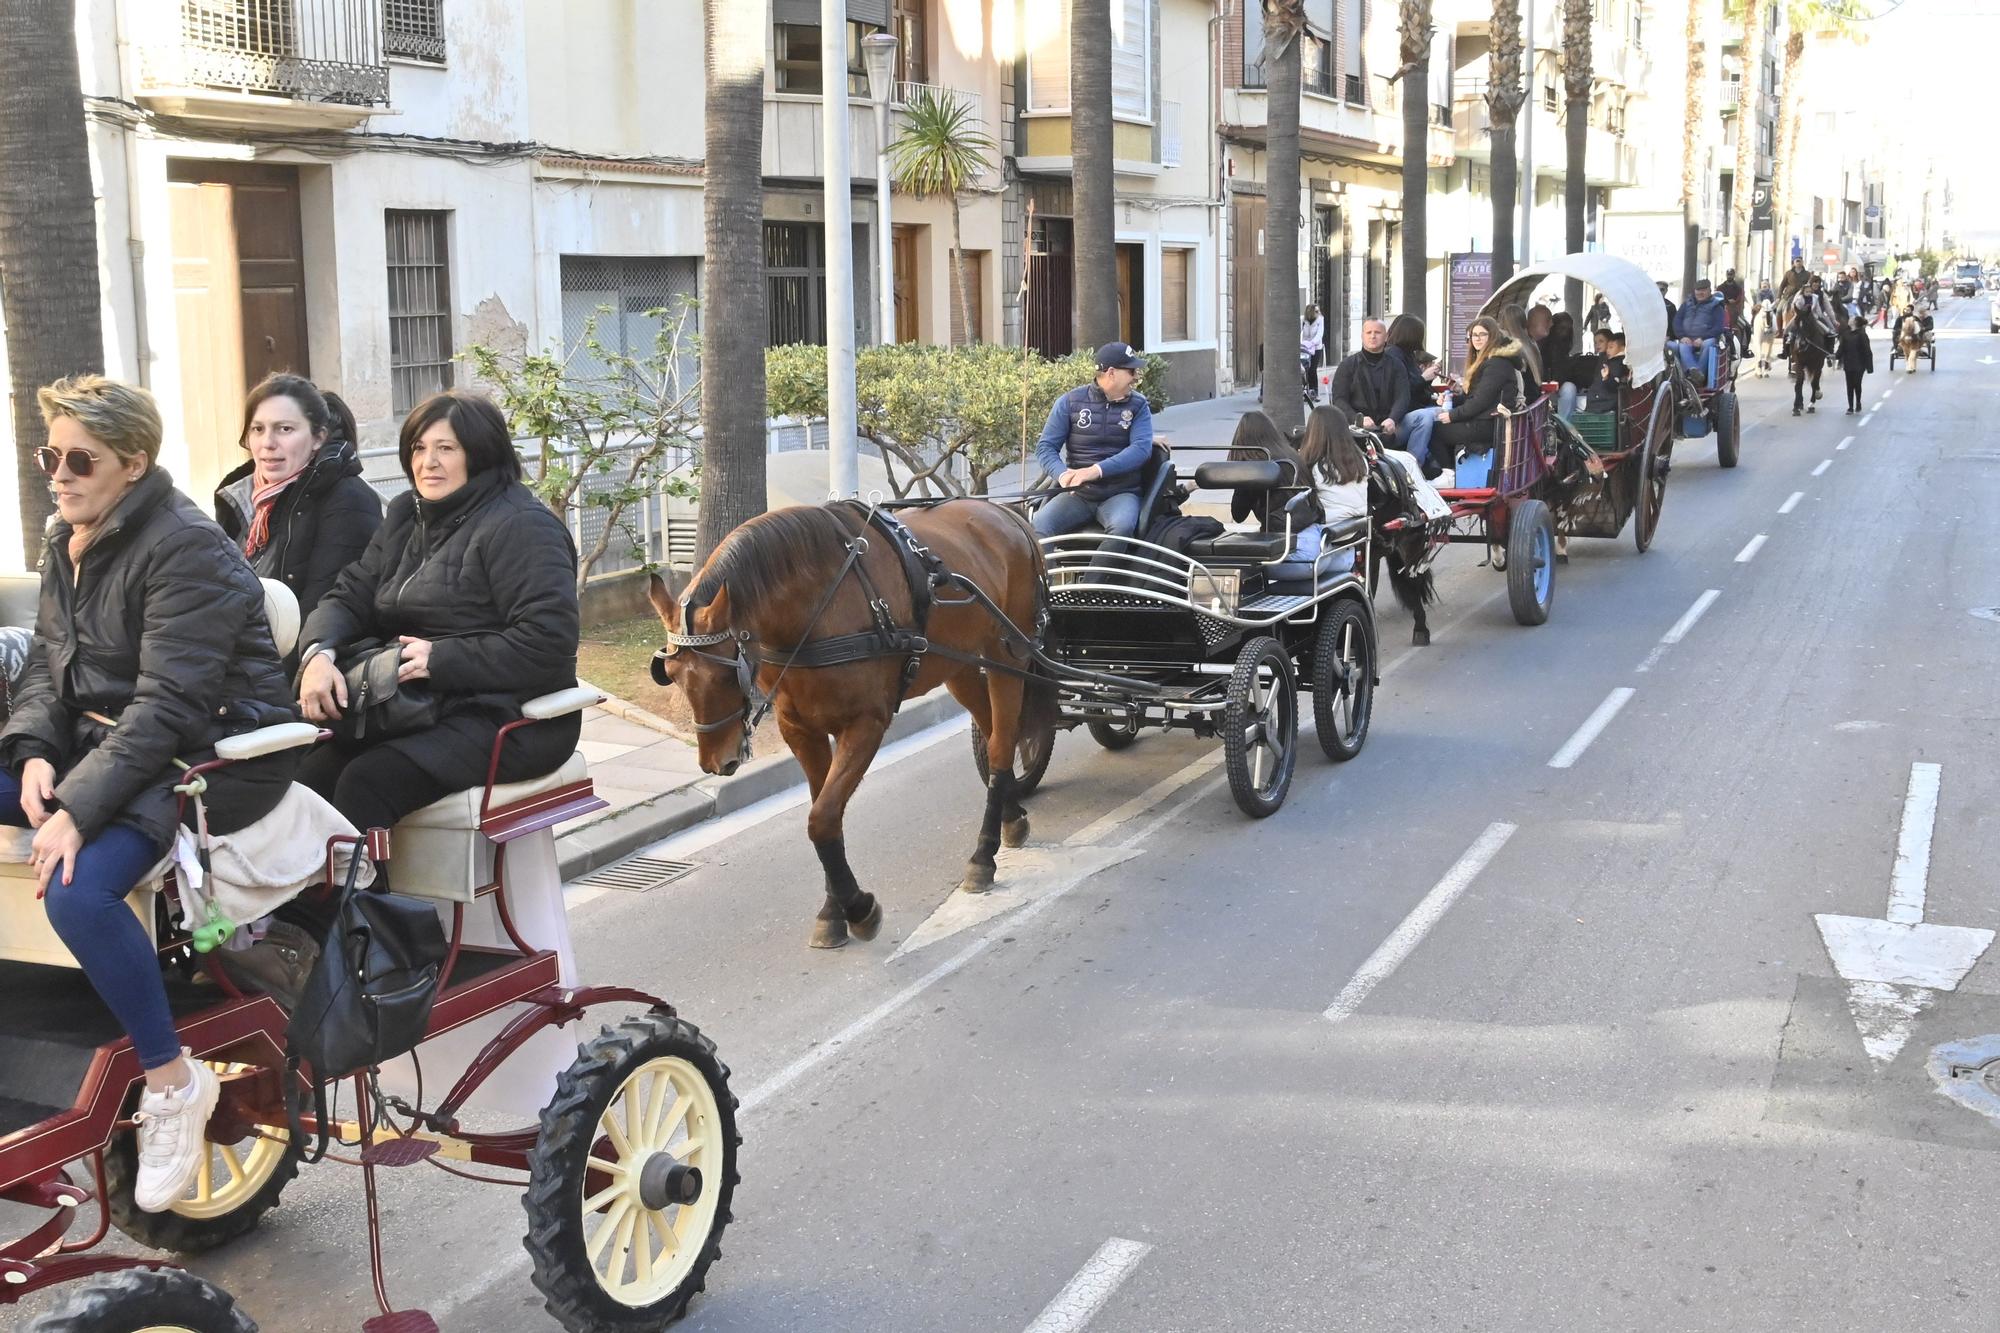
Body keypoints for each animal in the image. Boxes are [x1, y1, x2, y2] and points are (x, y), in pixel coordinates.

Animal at [648, 496, 1056, 944]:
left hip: (1008, 657)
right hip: (961, 665)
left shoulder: (865, 725)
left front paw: (858, 908)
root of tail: (1007, 515)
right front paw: (834, 910)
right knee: (994, 730)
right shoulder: (800, 729)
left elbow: (823, 817)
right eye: (672, 676)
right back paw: (1011, 818)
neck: (815, 606)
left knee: (1002, 742)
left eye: (726, 675)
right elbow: (823, 813)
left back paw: (983, 855)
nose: (715, 761)